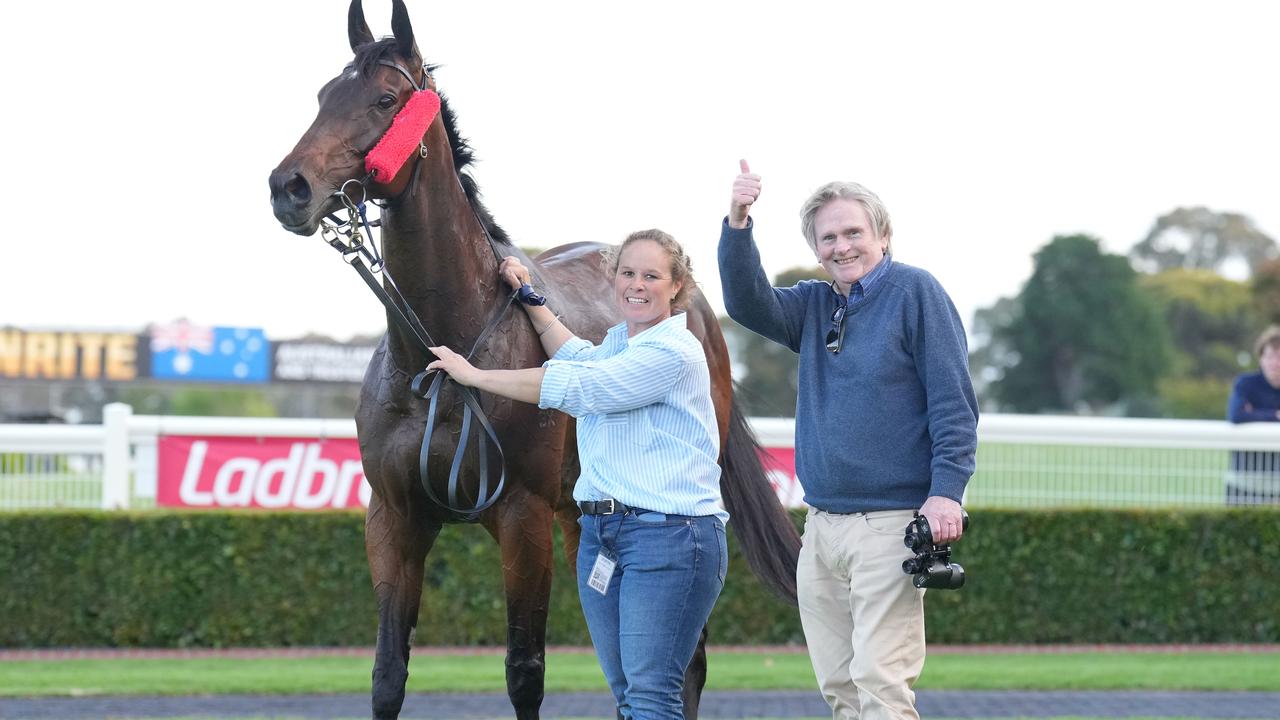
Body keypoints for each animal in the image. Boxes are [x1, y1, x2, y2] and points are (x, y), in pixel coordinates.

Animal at [266, 2, 793, 712]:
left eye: (384, 100)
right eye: (324, 95)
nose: (288, 186)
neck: (436, 358)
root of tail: (699, 306)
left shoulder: (522, 517)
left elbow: (525, 670)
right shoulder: (395, 518)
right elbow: (387, 672)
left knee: (682, 661)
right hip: (583, 517)